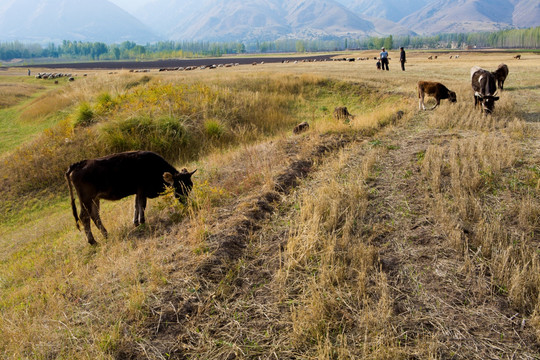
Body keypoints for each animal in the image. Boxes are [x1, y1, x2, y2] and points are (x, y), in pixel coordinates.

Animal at [65, 149, 196, 245]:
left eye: (190, 187)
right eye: (179, 187)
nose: (187, 203)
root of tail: (79, 164)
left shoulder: (138, 192)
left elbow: (136, 205)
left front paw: (136, 222)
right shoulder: (142, 189)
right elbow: (142, 205)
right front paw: (142, 222)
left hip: (95, 199)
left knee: (95, 215)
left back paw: (106, 235)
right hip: (86, 200)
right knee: (84, 217)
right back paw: (92, 241)